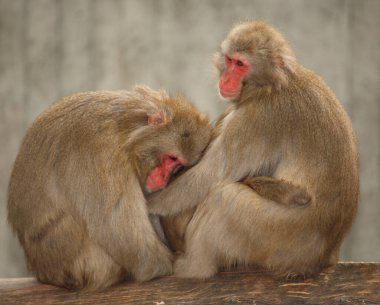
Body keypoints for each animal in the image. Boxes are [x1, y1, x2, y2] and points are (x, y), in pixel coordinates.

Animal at [7, 85, 212, 288]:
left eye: (178, 166)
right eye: (172, 158)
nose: (163, 178)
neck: (126, 129)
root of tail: (43, 272)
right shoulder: (101, 153)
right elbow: (119, 231)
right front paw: (165, 265)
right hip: (85, 265)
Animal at [148, 21, 360, 278]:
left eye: (240, 65)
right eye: (229, 60)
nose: (226, 79)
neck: (271, 85)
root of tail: (324, 256)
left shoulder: (257, 119)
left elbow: (210, 177)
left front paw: (151, 205)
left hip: (279, 237)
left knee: (223, 198)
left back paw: (193, 268)